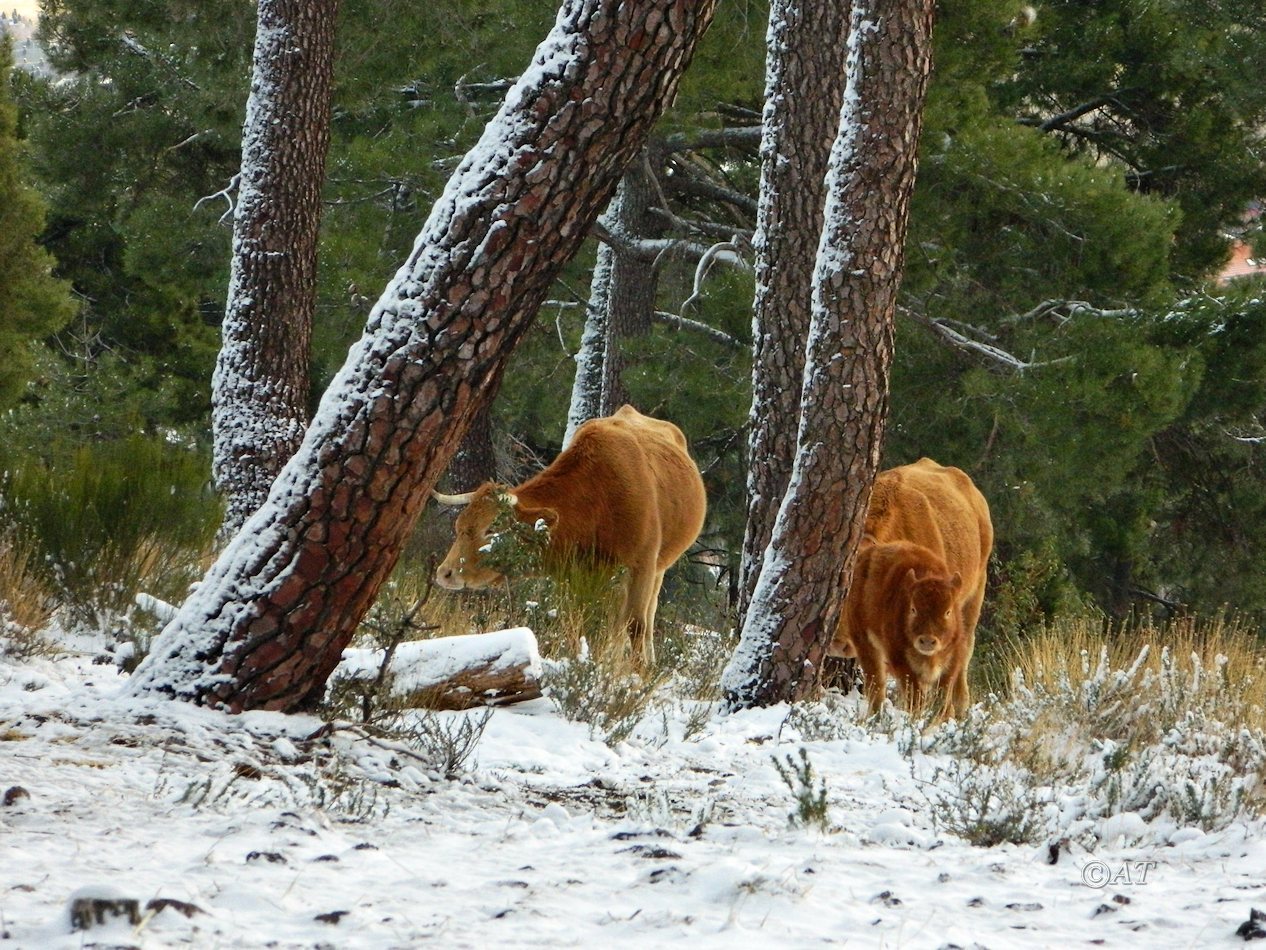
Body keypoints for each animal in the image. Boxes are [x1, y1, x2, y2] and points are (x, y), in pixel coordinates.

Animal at [432, 405, 714, 663]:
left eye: (491, 529)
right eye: (460, 526)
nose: (445, 572)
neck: (598, 498)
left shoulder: (641, 567)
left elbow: (635, 625)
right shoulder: (575, 578)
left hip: (658, 569)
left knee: (645, 618)